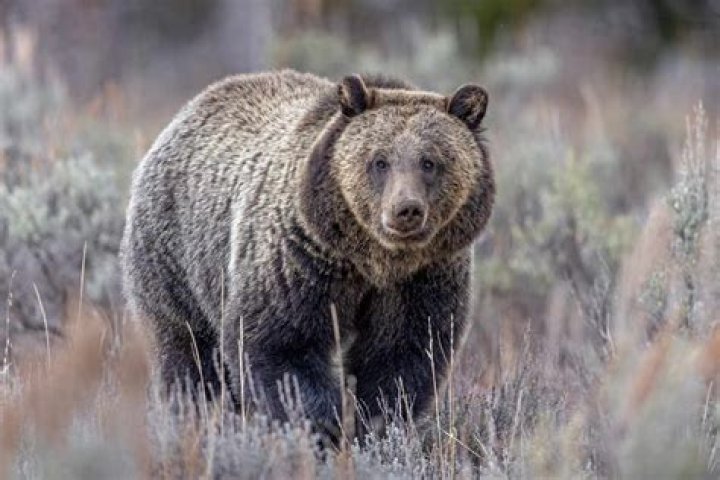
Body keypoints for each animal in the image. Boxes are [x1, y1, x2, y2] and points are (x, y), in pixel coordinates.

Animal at [121, 69, 493, 441]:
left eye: (430, 161)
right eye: (380, 161)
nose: (406, 210)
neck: (373, 260)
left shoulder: (422, 279)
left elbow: (400, 356)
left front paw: (370, 424)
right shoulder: (301, 261)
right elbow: (281, 347)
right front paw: (322, 426)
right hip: (177, 255)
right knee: (188, 353)